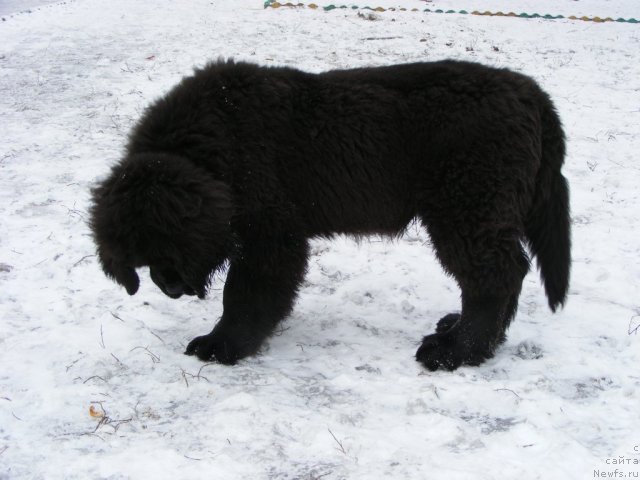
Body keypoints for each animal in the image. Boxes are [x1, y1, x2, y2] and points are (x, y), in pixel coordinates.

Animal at [89, 60, 568, 372]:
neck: (213, 146)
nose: (169, 288)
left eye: (173, 244)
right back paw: (477, 337)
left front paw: (223, 344)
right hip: (485, 209)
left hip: (466, 205)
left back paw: (456, 350)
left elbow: (243, 293)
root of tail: (532, 94)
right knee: (508, 270)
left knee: (495, 275)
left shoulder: (269, 231)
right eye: (138, 258)